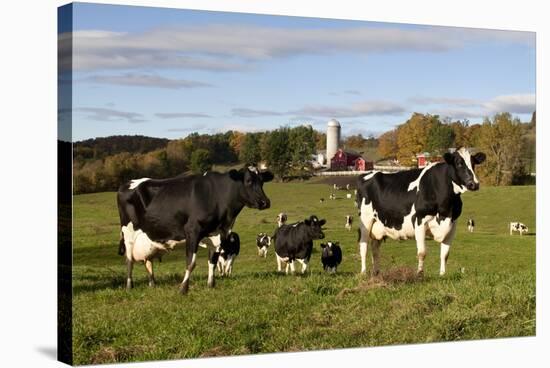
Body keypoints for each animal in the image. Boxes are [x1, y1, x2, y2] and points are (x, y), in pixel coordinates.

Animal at [117, 165, 274, 294]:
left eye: (262, 181)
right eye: (248, 181)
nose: (265, 202)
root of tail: (126, 184)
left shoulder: (218, 235)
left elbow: (213, 262)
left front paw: (211, 285)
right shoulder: (192, 231)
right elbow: (191, 262)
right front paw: (183, 288)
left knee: (147, 261)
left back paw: (152, 284)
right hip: (128, 234)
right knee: (129, 261)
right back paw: (129, 286)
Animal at [358, 147, 488, 276]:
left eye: (473, 163)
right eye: (459, 163)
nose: (474, 184)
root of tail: (370, 174)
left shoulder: (452, 224)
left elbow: (445, 254)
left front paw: (442, 274)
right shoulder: (419, 220)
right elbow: (422, 252)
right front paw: (419, 273)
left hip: (378, 225)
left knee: (375, 249)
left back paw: (376, 272)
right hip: (366, 220)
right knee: (363, 246)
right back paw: (363, 272)